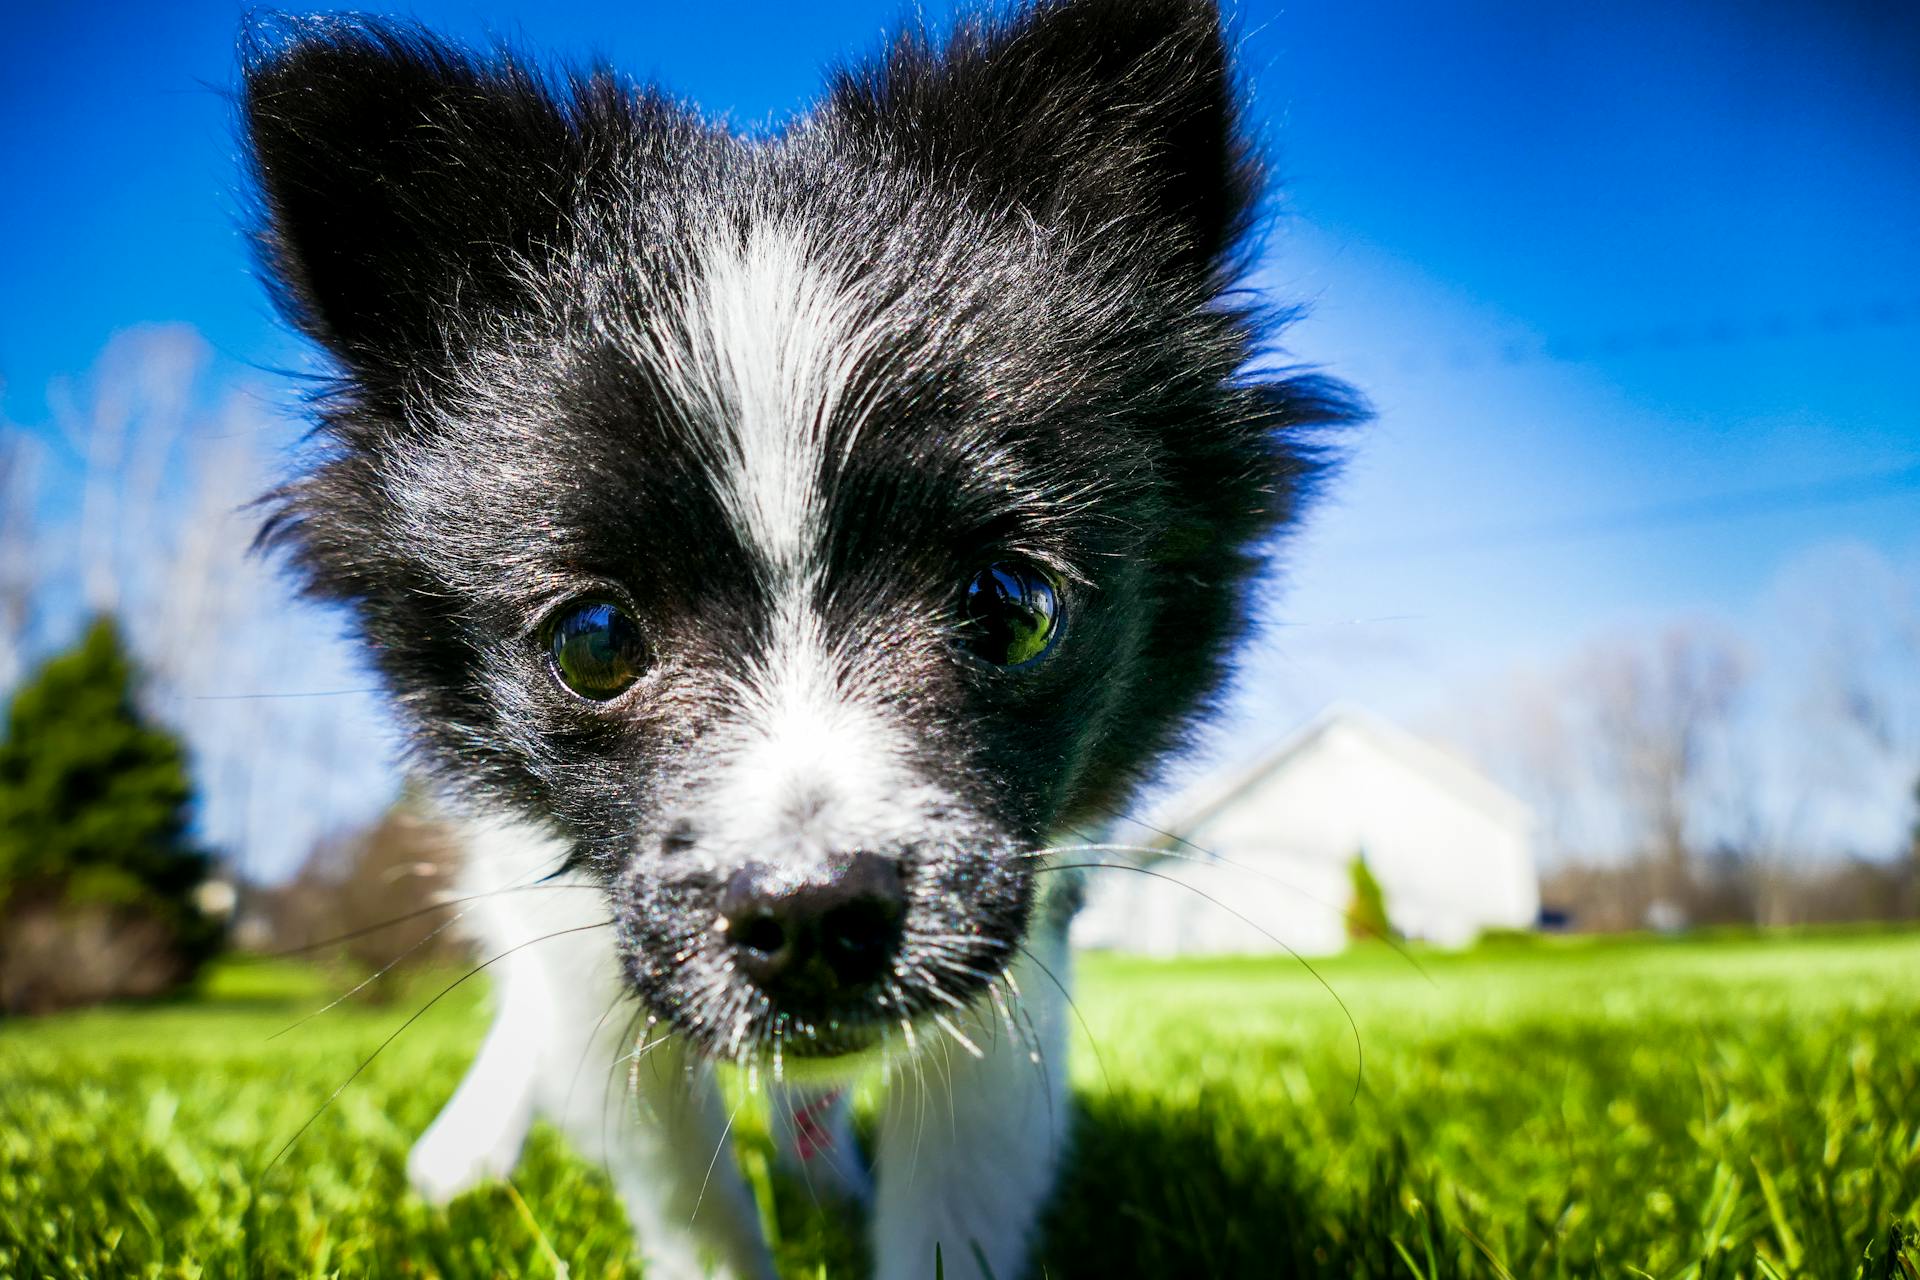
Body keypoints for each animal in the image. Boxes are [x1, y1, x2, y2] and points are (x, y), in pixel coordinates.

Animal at [240, 0, 1351, 1274]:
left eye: (1012, 607)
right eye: (594, 641)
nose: (814, 910)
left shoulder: (1020, 927)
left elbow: (954, 1186)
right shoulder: (580, 919)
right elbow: (678, 1177)